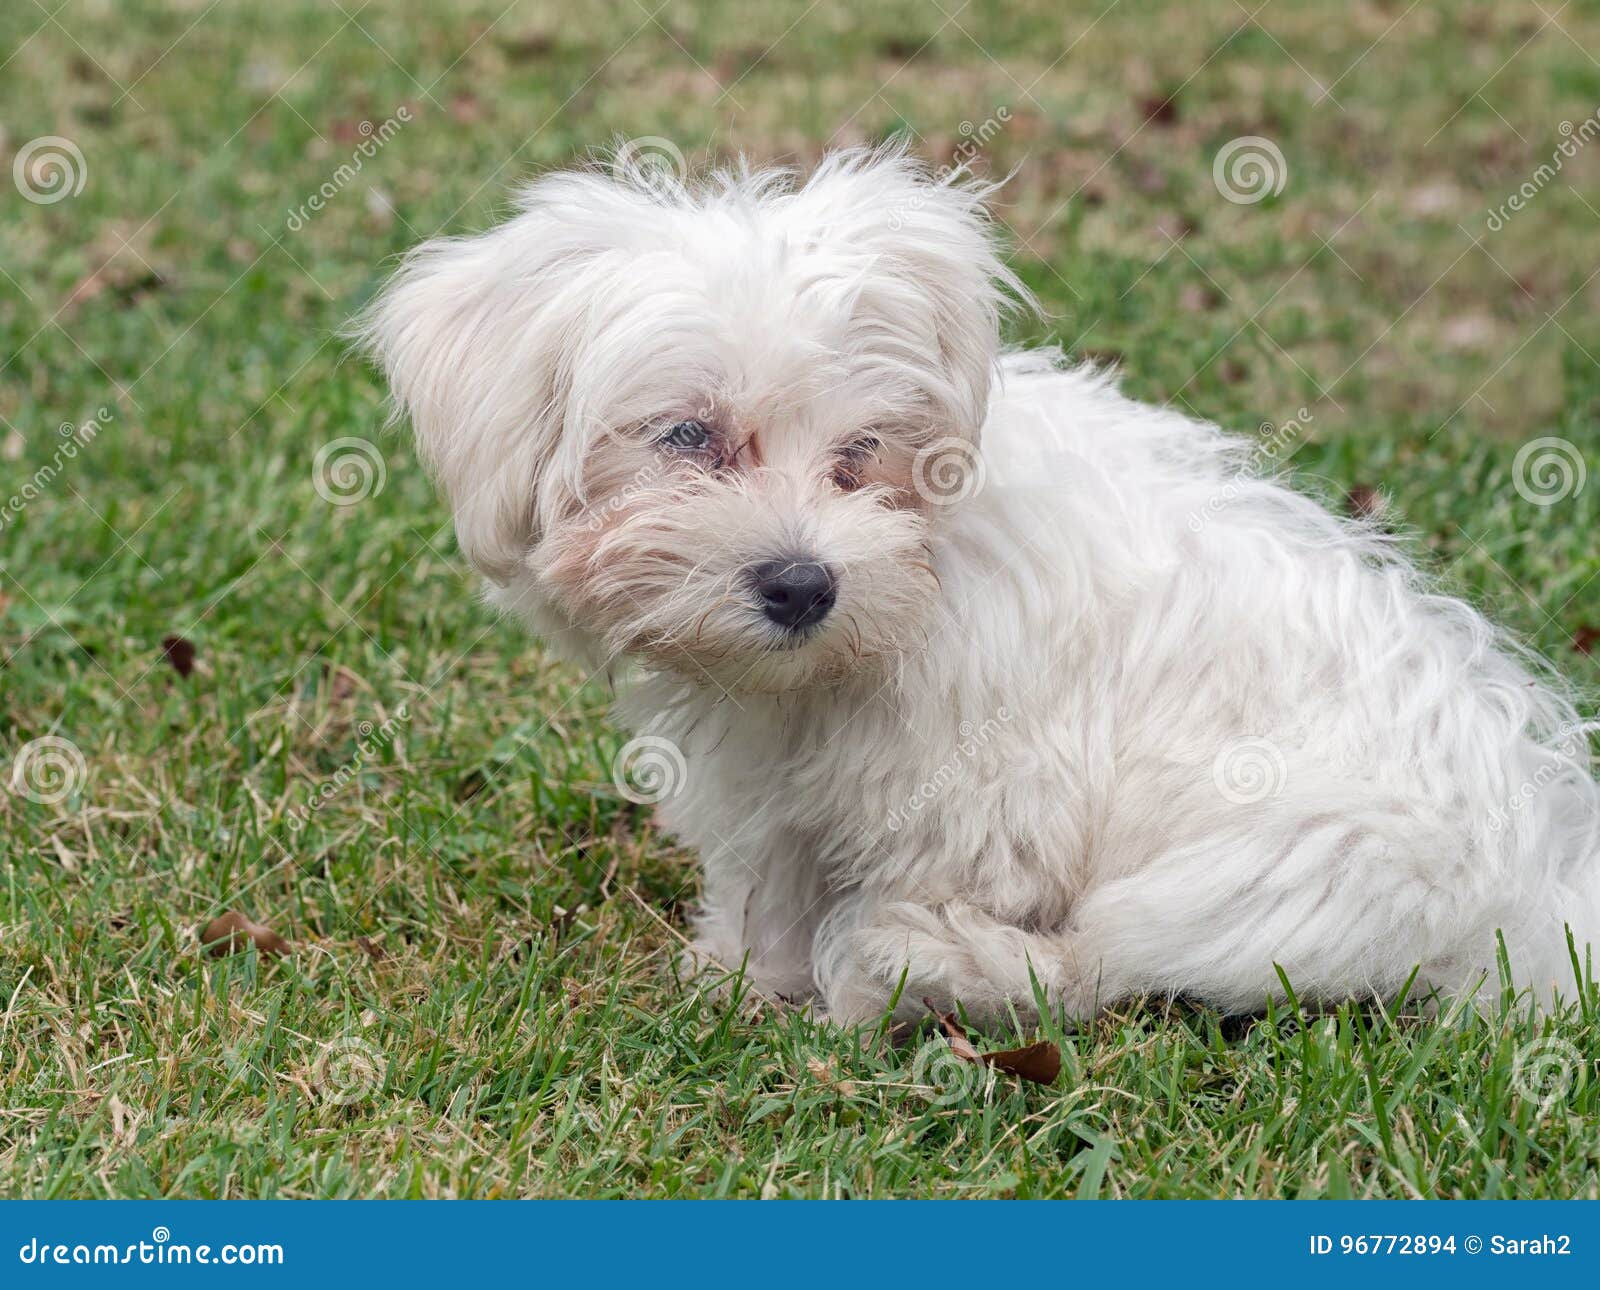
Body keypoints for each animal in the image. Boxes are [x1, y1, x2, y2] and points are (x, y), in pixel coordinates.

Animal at [363, 146, 1600, 1024]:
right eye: (688, 437)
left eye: (862, 452)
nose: (802, 584)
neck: (916, 577)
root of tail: (1538, 893)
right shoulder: (777, 775)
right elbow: (771, 865)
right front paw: (745, 973)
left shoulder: (989, 797)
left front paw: (838, 989)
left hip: (1275, 871)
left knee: (1107, 966)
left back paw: (924, 967)